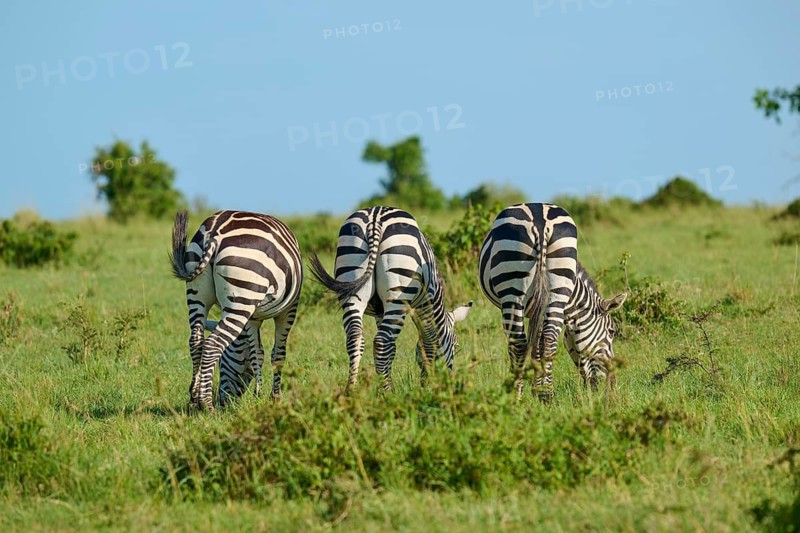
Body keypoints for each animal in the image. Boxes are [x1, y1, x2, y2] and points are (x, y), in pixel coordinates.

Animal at [170, 210, 302, 410]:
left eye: (222, 363)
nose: (223, 401)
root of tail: (214, 232)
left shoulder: (252, 317)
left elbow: (258, 353)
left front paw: (258, 394)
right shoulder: (287, 311)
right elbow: (277, 355)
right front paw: (274, 398)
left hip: (197, 294)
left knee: (196, 342)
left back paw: (194, 399)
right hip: (241, 297)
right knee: (212, 345)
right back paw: (207, 404)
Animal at [309, 206, 472, 390]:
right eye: (456, 345)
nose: (448, 381)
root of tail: (375, 218)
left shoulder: (381, 312)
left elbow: (395, 350)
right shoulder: (426, 303)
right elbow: (424, 343)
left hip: (351, 283)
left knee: (355, 337)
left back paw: (351, 390)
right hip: (398, 293)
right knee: (382, 342)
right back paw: (387, 392)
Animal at [478, 203, 626, 400]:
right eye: (612, 331)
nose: (612, 383)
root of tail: (541, 221)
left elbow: (533, 344)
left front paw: (534, 387)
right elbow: (538, 344)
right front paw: (537, 388)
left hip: (513, 290)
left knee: (520, 342)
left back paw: (517, 396)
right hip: (556, 286)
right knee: (547, 340)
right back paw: (544, 394)